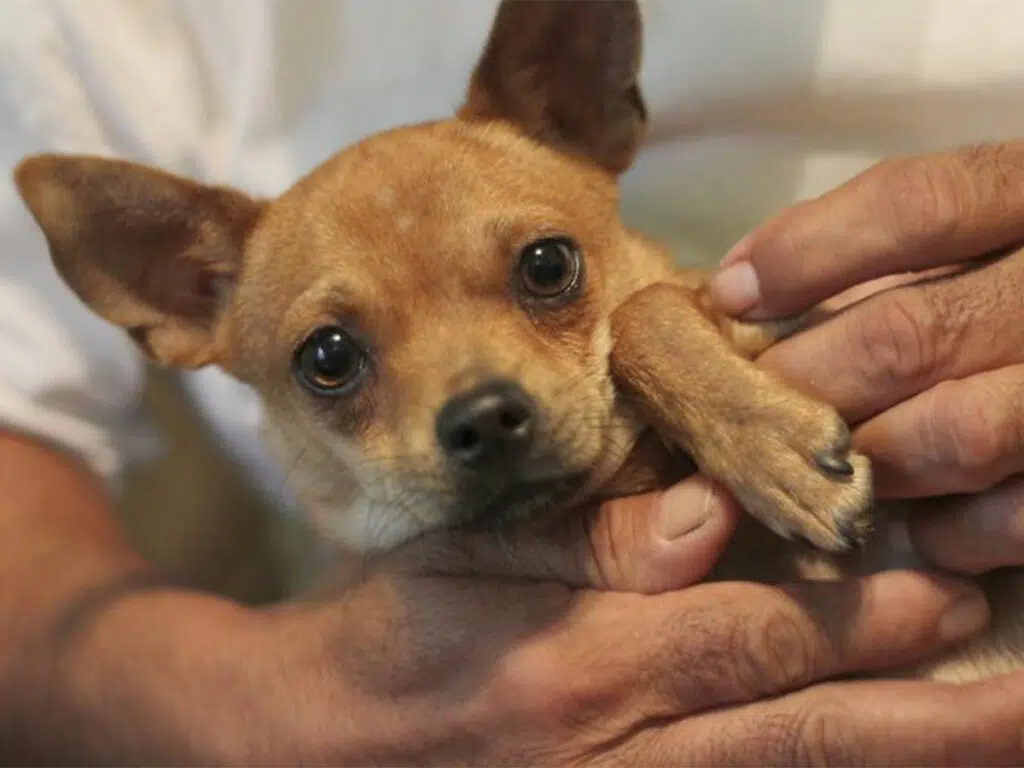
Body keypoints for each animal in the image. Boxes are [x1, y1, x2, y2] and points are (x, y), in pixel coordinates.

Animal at [14, 1, 1024, 684]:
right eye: (327, 359)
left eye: (548, 266)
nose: (484, 420)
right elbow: (647, 313)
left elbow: (645, 310)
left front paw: (773, 449)